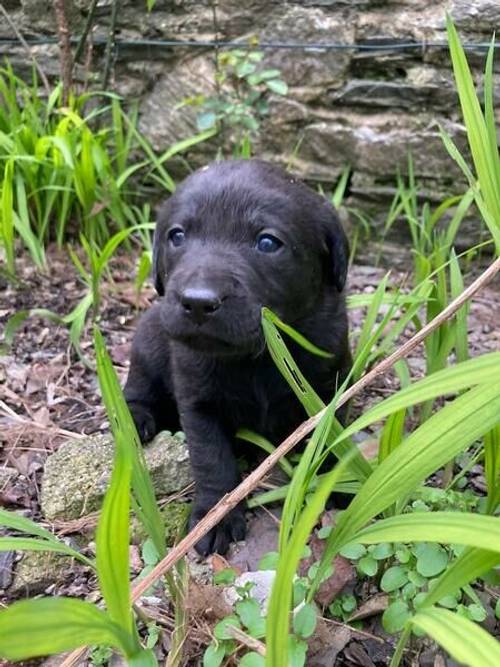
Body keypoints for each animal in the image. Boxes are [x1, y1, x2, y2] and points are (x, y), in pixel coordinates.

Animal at [125, 159, 352, 556]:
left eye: (267, 242)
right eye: (177, 236)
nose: (198, 302)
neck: (257, 356)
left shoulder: (331, 380)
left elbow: (331, 438)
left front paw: (339, 482)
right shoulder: (199, 403)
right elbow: (212, 460)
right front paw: (216, 516)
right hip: (149, 341)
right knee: (137, 385)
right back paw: (135, 419)